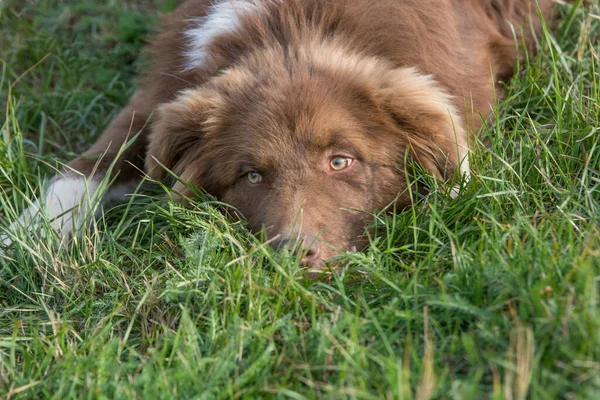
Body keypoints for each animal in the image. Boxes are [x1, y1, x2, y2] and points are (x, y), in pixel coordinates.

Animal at [3, 0, 556, 272]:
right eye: (251, 175)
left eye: (341, 161)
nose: (295, 254)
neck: (296, 29)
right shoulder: (160, 93)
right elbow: (87, 167)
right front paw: (27, 237)